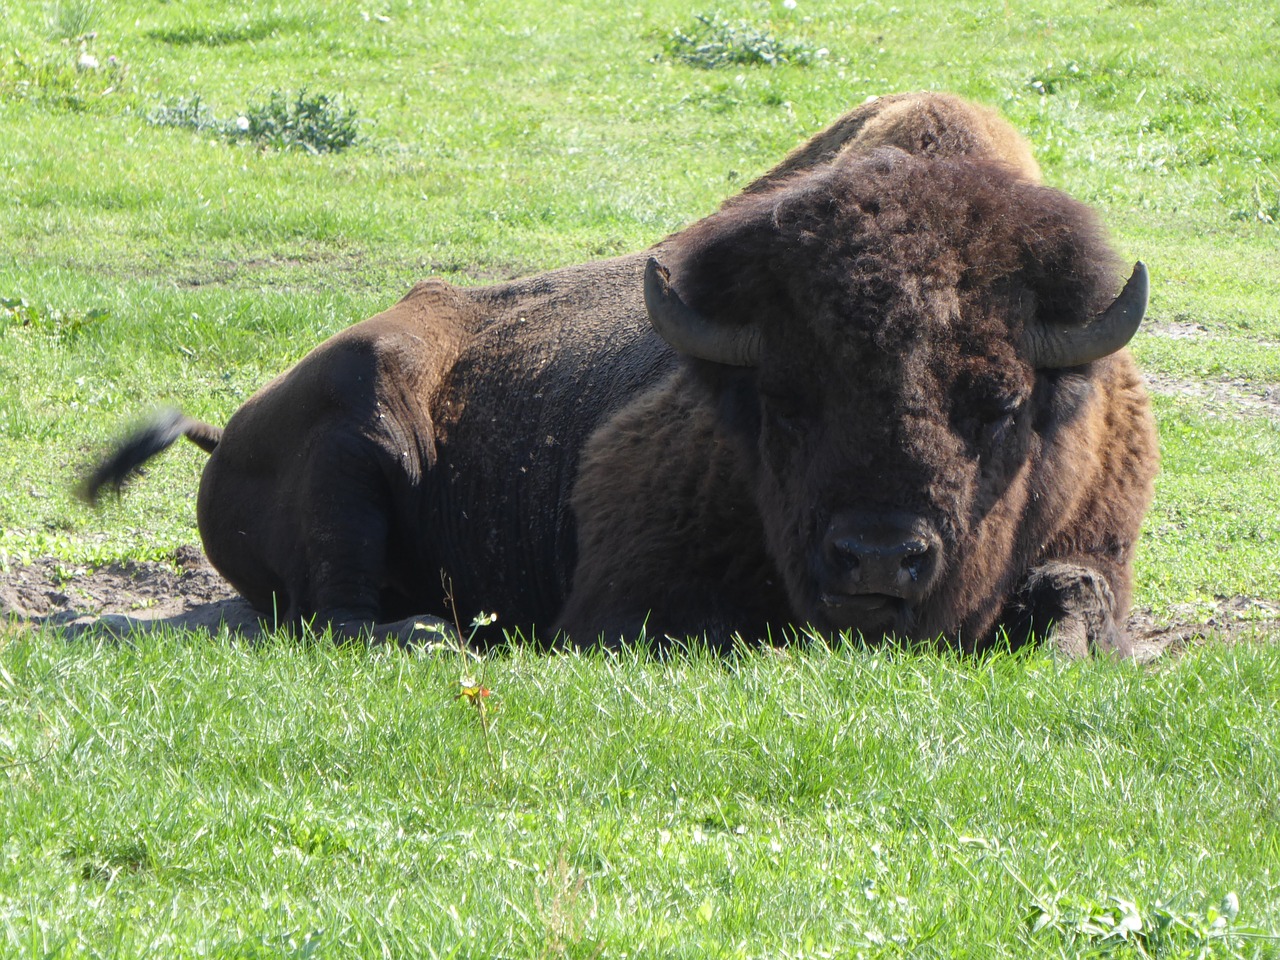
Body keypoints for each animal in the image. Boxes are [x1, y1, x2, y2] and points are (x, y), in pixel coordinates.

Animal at [82, 94, 1162, 660]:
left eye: (1004, 405)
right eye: (783, 402)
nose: (876, 558)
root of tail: (230, 431)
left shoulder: (1092, 552)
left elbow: (1075, 611)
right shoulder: (628, 587)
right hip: (358, 433)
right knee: (339, 610)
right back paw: (433, 630)